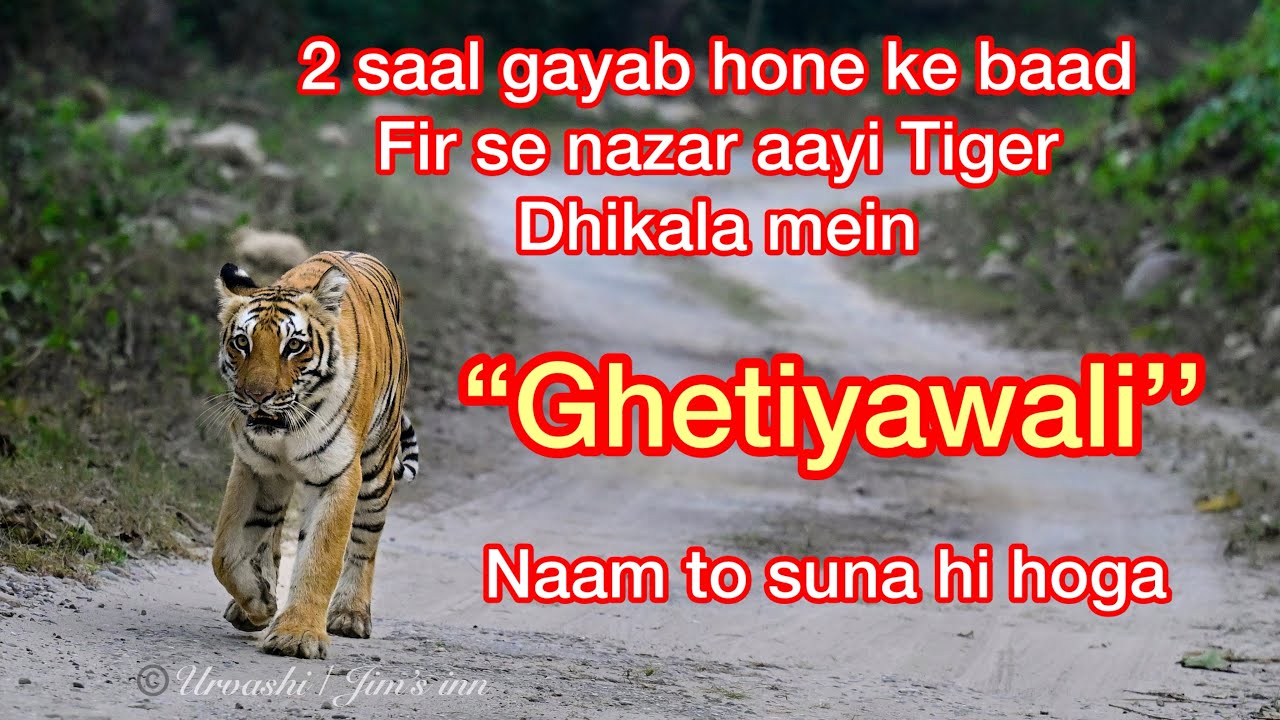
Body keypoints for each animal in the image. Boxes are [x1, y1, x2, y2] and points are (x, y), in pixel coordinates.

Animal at [210, 250, 420, 659]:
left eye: (293, 346)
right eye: (242, 342)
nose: (258, 396)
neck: (285, 431)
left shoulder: (337, 474)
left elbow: (321, 557)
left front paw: (297, 635)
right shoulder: (252, 466)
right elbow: (225, 551)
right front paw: (259, 603)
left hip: (376, 472)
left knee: (364, 543)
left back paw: (350, 615)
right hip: (278, 482)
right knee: (269, 534)